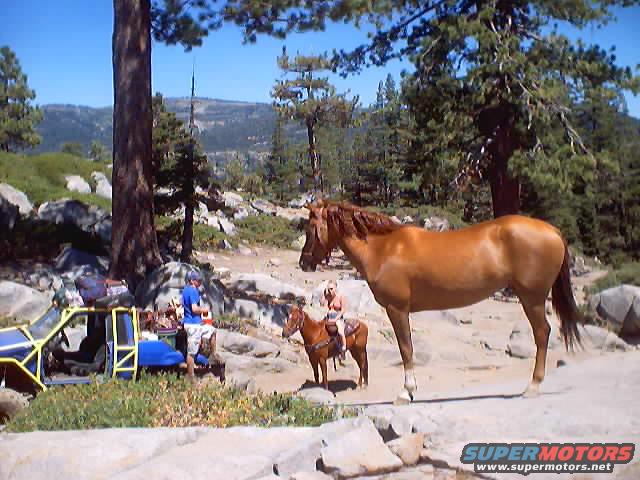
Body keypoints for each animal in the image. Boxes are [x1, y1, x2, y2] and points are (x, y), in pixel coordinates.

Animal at [298, 200, 582, 404]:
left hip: (532, 298)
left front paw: (406, 393)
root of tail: (553, 230)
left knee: (542, 333)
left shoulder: (397, 309)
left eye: (310, 228)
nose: (304, 263)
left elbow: (406, 349)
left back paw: (532, 386)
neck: (383, 248)